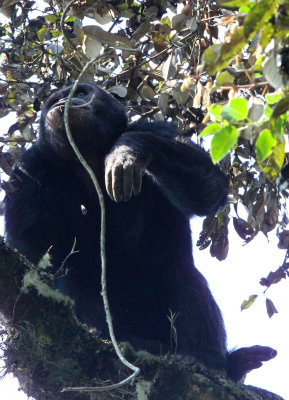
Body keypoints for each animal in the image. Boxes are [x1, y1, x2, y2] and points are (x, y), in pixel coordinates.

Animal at [3, 82, 274, 382]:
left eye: (82, 91)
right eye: (54, 100)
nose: (64, 101)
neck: (90, 157)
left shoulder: (159, 129)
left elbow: (209, 188)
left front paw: (127, 150)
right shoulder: (29, 167)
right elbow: (29, 242)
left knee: (179, 272)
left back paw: (212, 360)